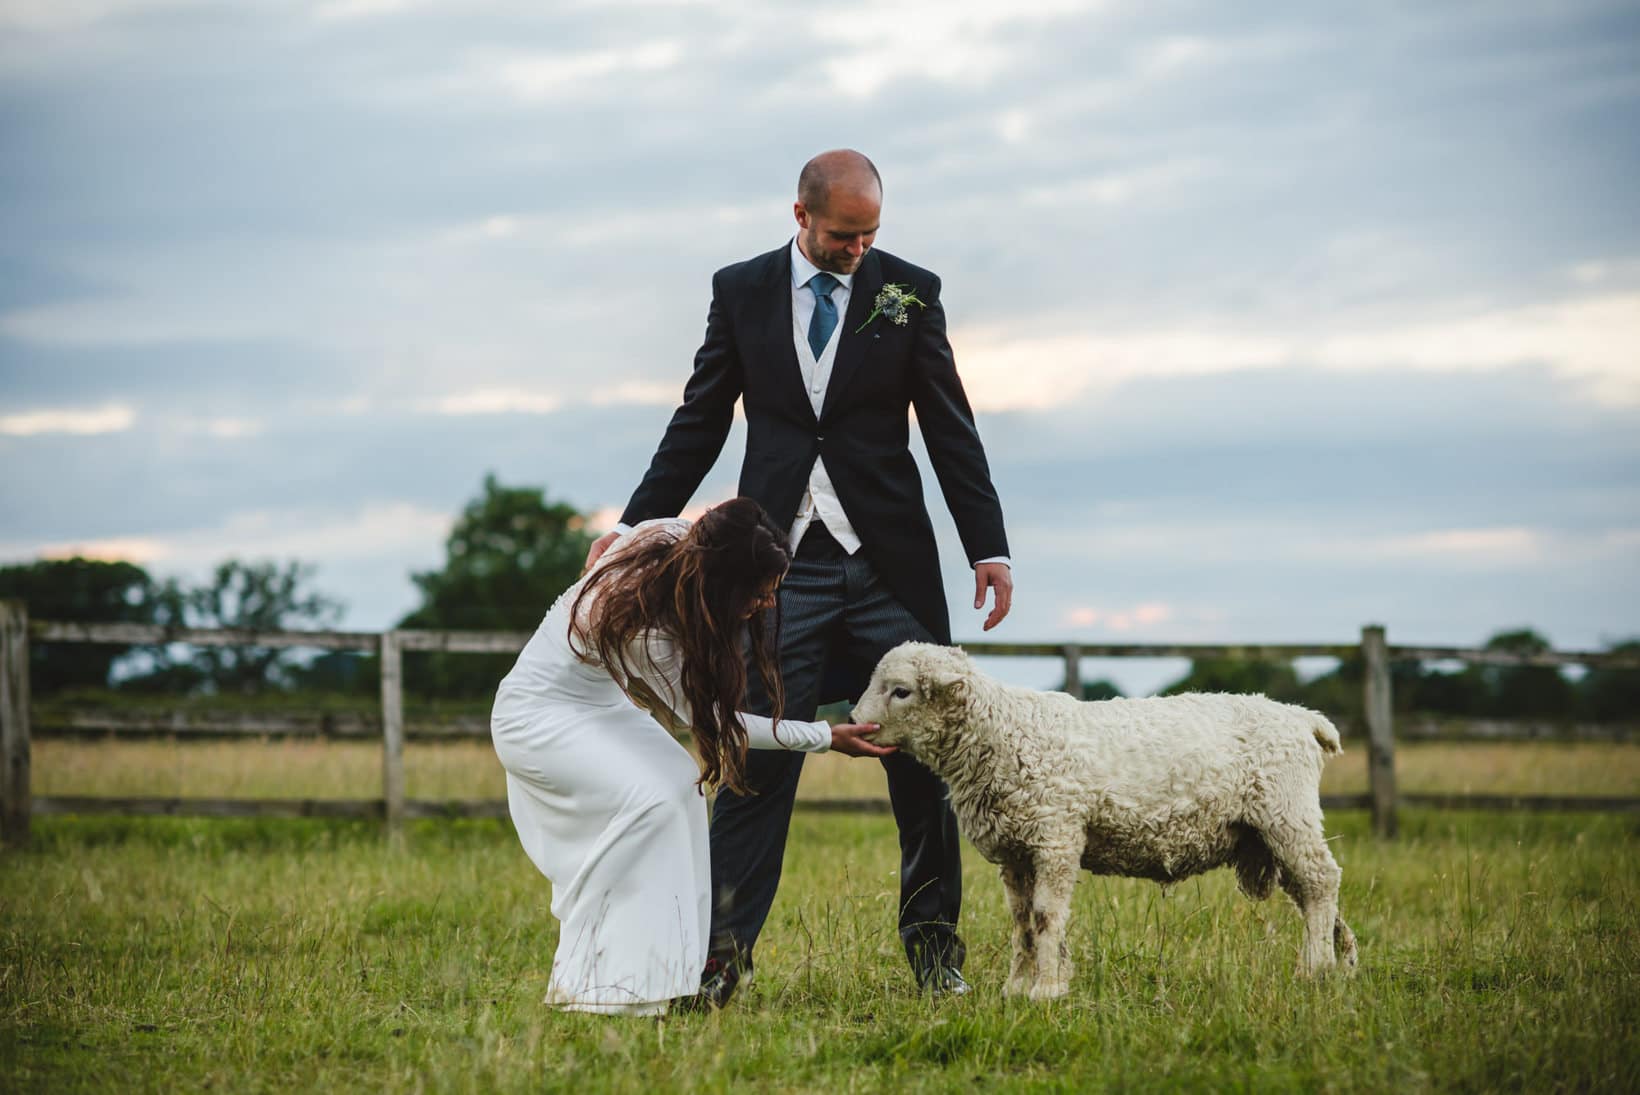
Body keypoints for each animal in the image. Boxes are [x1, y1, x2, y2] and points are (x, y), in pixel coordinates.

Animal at [846, 642, 1357, 1003]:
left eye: (901, 690)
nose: (853, 722)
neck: (1004, 732)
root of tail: (1302, 718)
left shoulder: (1055, 836)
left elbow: (1045, 916)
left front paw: (1046, 991)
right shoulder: (1016, 850)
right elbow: (1020, 921)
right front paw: (1017, 988)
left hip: (1286, 812)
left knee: (1320, 881)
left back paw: (1313, 968)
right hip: (1270, 830)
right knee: (1312, 891)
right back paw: (1340, 962)